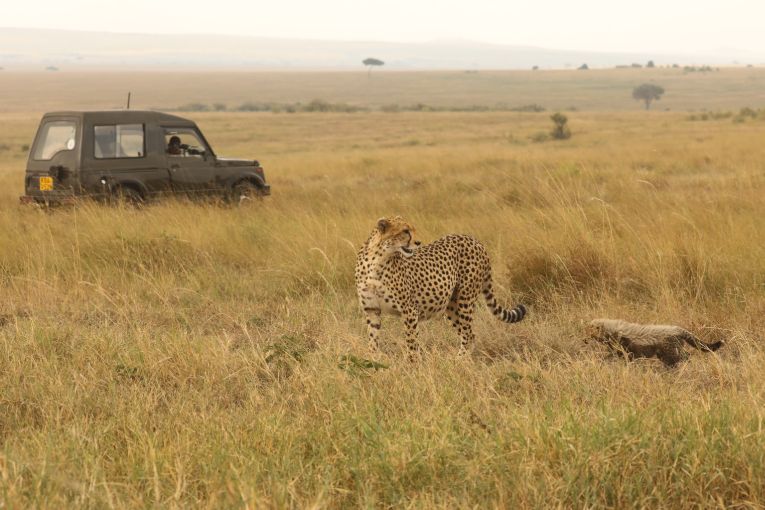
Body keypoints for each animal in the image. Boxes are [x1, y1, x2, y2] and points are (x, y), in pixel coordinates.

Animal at [354, 216, 524, 354]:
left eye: (412, 230)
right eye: (405, 231)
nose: (418, 242)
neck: (377, 260)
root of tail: (473, 239)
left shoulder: (409, 310)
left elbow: (411, 343)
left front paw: (412, 367)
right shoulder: (372, 309)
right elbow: (373, 339)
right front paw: (373, 359)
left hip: (465, 299)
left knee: (468, 334)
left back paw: (460, 362)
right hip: (451, 305)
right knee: (469, 334)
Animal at [584, 318, 724, 366]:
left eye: (589, 333)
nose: (584, 340)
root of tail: (677, 328)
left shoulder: (626, 350)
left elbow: (613, 357)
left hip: (671, 350)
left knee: (685, 357)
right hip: (664, 353)